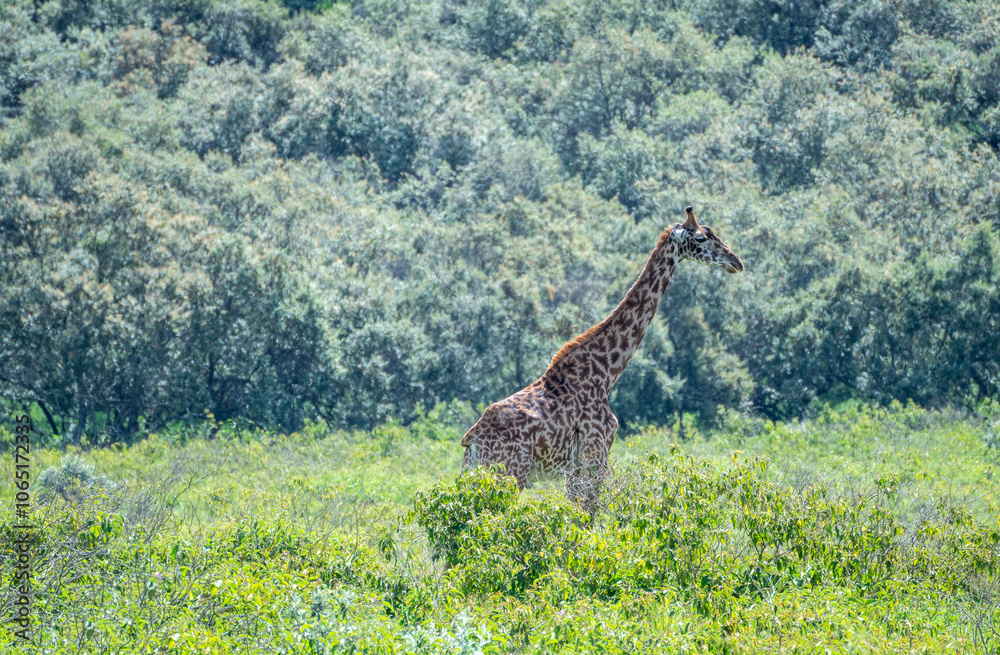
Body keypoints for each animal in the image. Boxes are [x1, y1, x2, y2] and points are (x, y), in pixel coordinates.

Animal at [460, 206, 744, 513]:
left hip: (473, 473)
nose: (736, 262)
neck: (605, 372)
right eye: (701, 238)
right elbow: (588, 515)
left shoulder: (576, 466)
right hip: (510, 473)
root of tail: (473, 439)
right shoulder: (595, 451)